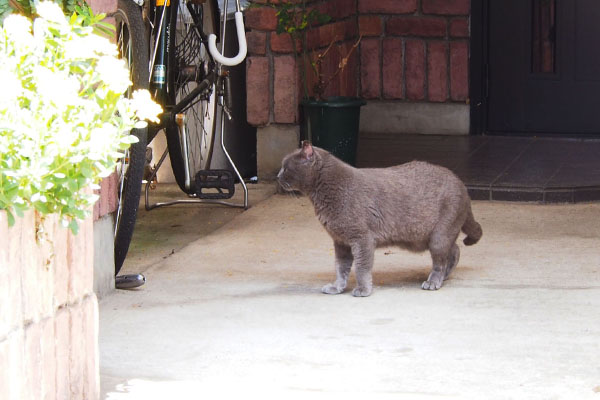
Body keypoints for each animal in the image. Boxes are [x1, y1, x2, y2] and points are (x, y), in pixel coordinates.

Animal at [278, 142, 482, 296]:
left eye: (286, 167)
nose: (277, 176)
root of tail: (461, 184)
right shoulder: (340, 241)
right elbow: (341, 268)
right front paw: (337, 287)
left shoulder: (362, 238)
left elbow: (361, 267)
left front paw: (363, 290)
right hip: (430, 237)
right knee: (454, 250)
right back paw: (445, 275)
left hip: (439, 235)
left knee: (441, 259)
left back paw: (433, 282)